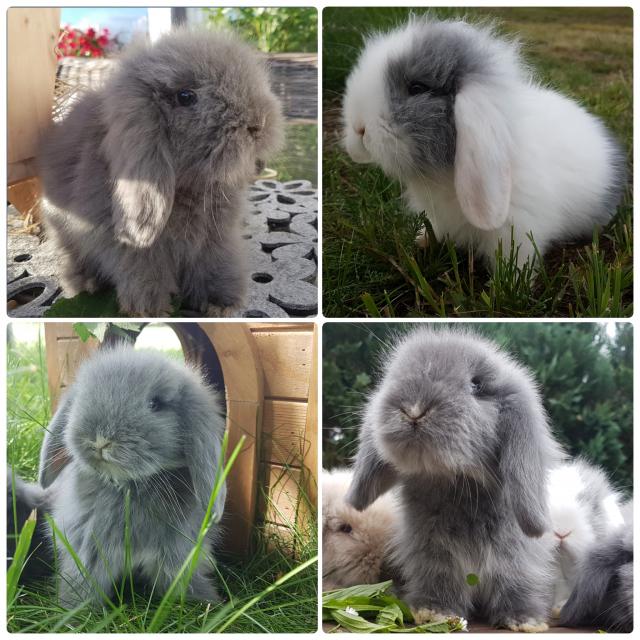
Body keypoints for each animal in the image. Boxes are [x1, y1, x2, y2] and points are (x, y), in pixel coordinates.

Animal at [37, 346, 227, 608]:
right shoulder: (89, 549)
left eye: (155, 404)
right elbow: (84, 583)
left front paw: (204, 604)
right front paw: (73, 611)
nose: (100, 440)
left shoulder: (178, 553)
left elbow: (179, 582)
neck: (130, 485)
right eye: (83, 395)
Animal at [39, 28, 284, 317]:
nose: (259, 123)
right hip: (63, 231)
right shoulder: (135, 252)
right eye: (186, 96)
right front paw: (151, 310)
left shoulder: (216, 241)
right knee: (73, 257)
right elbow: (145, 276)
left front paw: (220, 303)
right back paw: (85, 284)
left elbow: (216, 266)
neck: (189, 187)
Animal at [342, 17, 626, 266]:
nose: (358, 128)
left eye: (417, 88)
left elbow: (513, 261)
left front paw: (510, 285)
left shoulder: (517, 229)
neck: (444, 176)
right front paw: (422, 241)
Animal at [346, 328, 564, 632]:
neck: (458, 483)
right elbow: (441, 581)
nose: (414, 409)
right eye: (394, 376)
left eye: (477, 385)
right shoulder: (433, 554)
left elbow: (515, 581)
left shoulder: (514, 556)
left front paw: (525, 620)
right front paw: (435, 613)